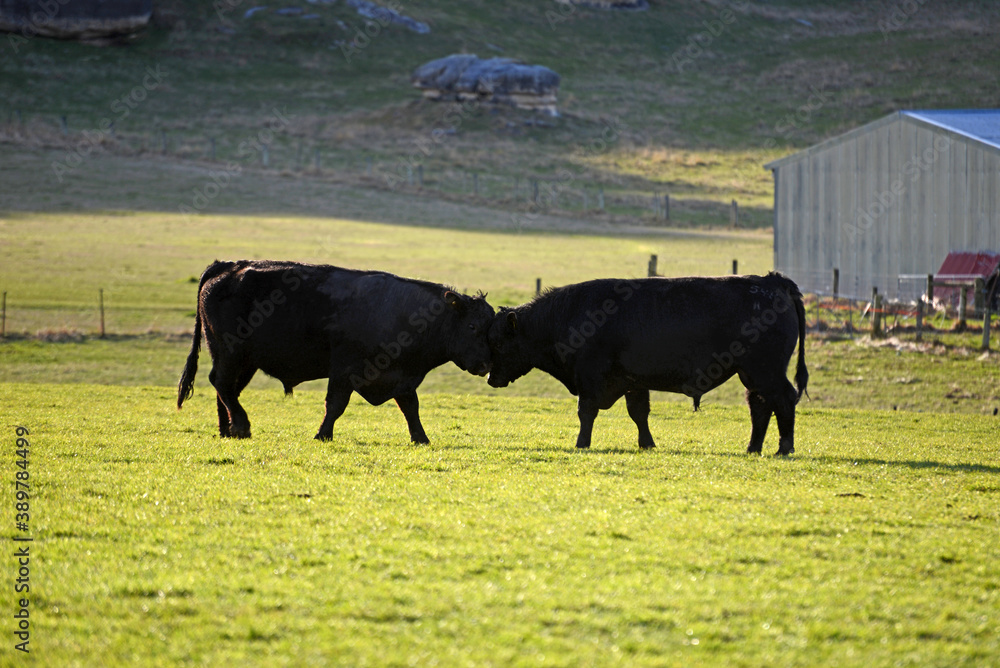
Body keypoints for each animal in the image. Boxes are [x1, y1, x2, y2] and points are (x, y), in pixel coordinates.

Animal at [177, 260, 494, 442]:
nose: (486, 365)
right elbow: (336, 405)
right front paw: (323, 434)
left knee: (227, 389)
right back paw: (241, 426)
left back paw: (228, 431)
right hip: (230, 352)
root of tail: (227, 267)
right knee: (220, 382)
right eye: (472, 326)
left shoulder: (401, 377)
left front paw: (421, 438)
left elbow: (410, 408)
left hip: (245, 361)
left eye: (491, 326)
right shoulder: (344, 370)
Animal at [486, 272, 808, 455]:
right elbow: (639, 414)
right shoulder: (633, 382)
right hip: (751, 374)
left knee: (783, 399)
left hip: (765, 371)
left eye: (499, 342)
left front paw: (582, 444)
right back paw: (753, 449)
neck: (566, 315)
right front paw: (647, 444)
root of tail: (771, 280)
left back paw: (784, 448)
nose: (490, 378)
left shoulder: (590, 378)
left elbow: (586, 412)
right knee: (760, 405)